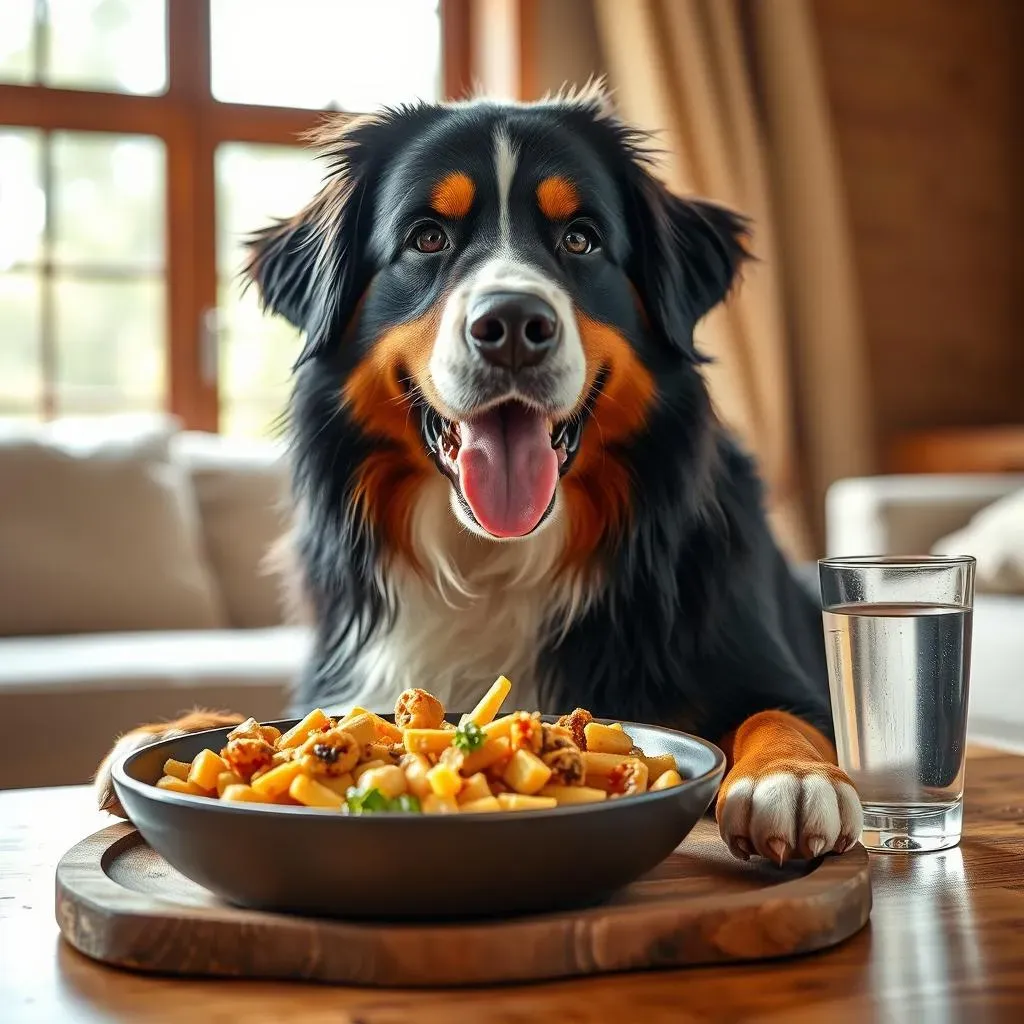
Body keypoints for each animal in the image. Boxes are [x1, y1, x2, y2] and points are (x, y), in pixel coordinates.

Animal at [97, 86, 864, 864]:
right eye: (427, 237)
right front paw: (167, 737)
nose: (515, 324)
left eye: (580, 239)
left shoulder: (768, 665)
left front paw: (791, 777)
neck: (492, 562)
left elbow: (779, 712)